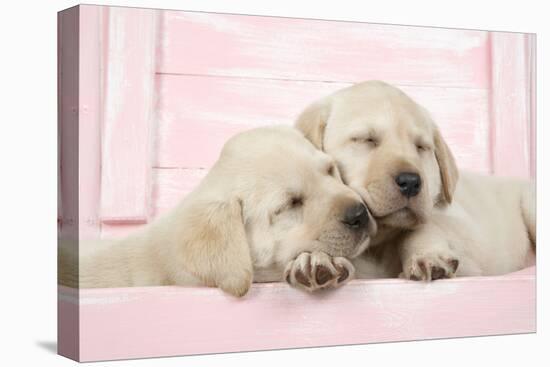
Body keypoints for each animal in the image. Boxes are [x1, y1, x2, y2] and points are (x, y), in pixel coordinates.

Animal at [296, 81, 536, 282]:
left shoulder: (466, 244)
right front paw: (317, 256)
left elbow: (421, 228)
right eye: (367, 140)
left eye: (421, 147)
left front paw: (427, 255)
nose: (411, 182)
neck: (377, 245)